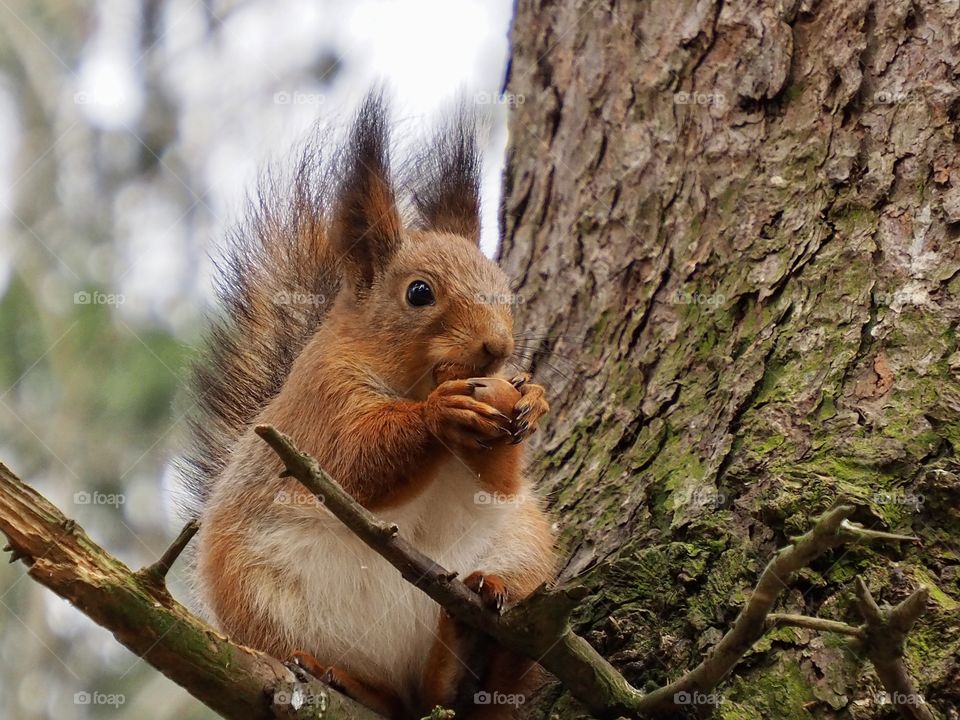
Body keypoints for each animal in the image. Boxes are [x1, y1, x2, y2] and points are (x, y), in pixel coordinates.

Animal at [178, 92, 556, 719]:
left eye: (505, 286)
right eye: (419, 293)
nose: (499, 347)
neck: (412, 381)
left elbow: (499, 483)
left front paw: (532, 399)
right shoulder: (319, 406)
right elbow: (353, 465)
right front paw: (441, 415)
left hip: (522, 551)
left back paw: (471, 648)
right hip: (259, 601)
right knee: (384, 693)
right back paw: (350, 680)